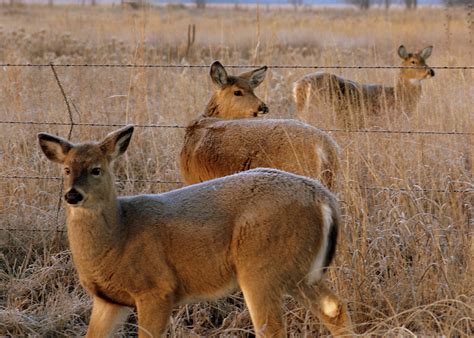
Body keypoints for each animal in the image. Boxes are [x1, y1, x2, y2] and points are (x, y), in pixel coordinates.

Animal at [39, 126, 354, 338]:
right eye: (66, 169)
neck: (119, 237)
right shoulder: (108, 299)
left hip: (261, 266)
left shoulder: (157, 288)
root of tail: (324, 198)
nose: (72, 195)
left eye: (96, 169)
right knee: (334, 308)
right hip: (299, 271)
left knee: (273, 329)